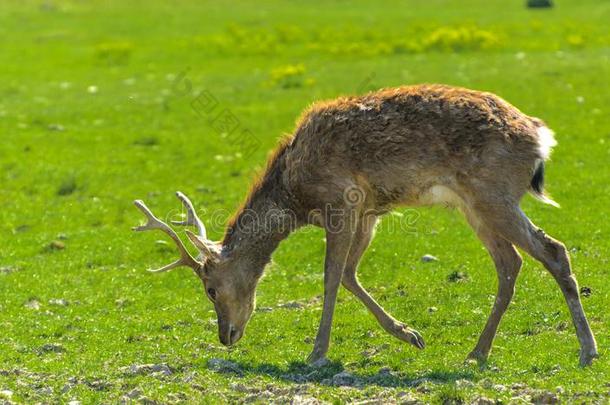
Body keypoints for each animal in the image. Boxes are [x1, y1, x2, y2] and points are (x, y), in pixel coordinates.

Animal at [132, 83, 592, 366]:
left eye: (210, 289)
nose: (226, 336)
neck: (295, 193)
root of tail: (541, 137)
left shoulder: (342, 200)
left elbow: (331, 275)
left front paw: (317, 351)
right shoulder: (370, 211)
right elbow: (351, 273)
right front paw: (410, 334)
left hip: (493, 193)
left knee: (552, 250)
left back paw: (587, 351)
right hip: (474, 206)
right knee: (510, 264)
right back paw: (477, 352)